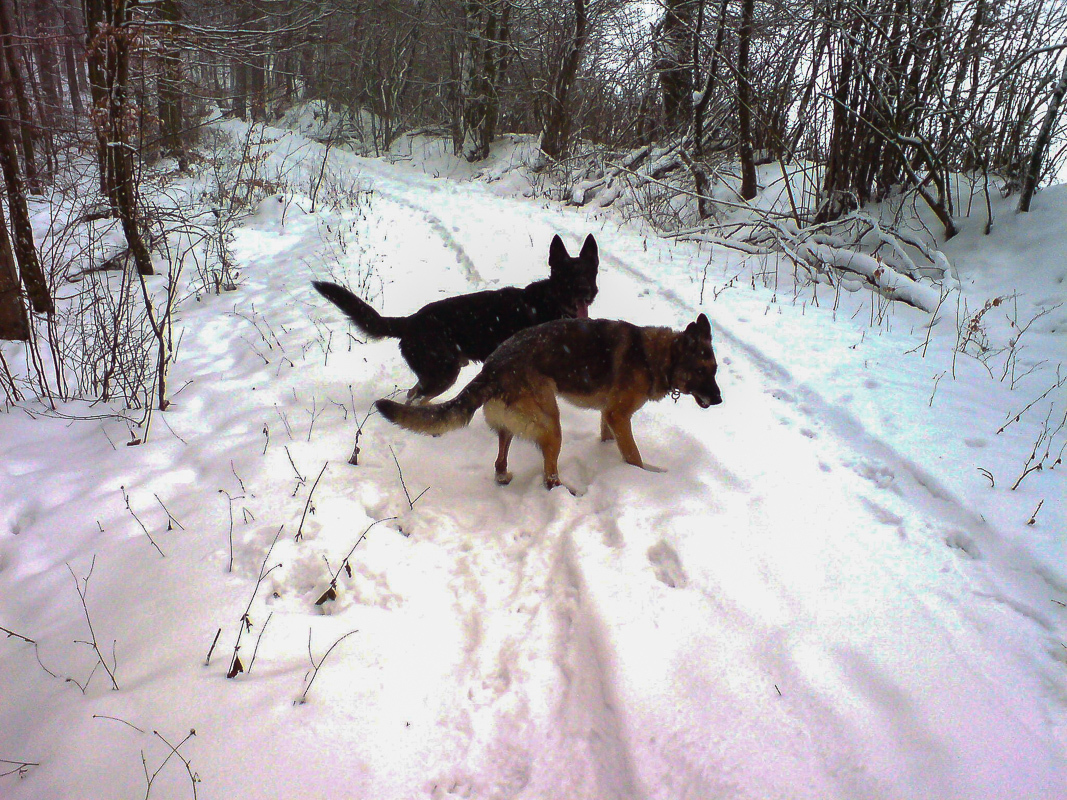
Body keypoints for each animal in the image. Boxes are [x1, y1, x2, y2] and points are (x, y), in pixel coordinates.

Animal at [311, 234, 601, 403]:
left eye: (589, 274)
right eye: (568, 277)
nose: (586, 292)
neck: (550, 303)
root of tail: (411, 321)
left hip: (440, 373)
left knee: (414, 395)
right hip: (443, 374)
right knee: (415, 398)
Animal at [377, 313, 725, 488]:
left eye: (715, 370)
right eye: (700, 371)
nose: (720, 399)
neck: (655, 356)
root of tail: (492, 367)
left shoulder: (609, 415)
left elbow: (608, 438)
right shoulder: (619, 415)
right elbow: (633, 456)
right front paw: (644, 476)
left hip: (513, 424)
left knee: (500, 460)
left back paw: (504, 476)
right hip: (552, 425)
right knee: (549, 477)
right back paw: (566, 491)